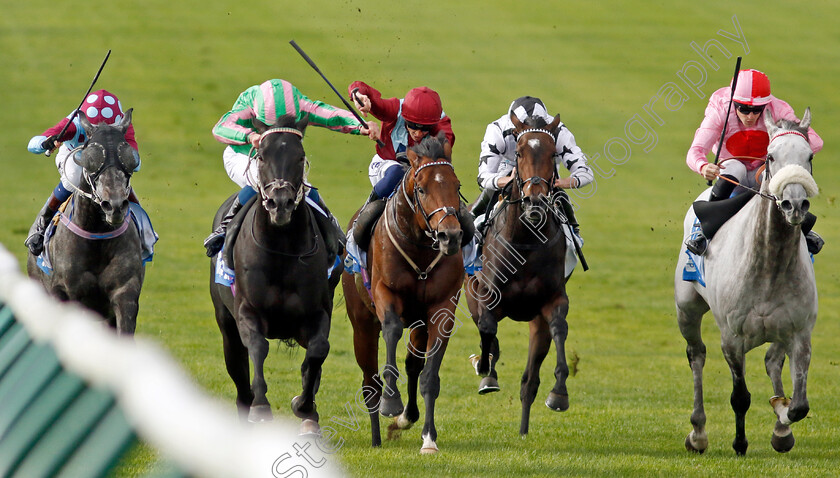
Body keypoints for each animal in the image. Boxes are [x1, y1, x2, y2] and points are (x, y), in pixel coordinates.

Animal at [27, 111, 144, 336]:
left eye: (128, 160)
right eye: (91, 160)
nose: (114, 205)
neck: (97, 239)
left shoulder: (125, 294)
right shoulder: (73, 296)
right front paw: (48, 141)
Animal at [208, 115, 340, 434]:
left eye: (300, 156)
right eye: (262, 155)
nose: (280, 203)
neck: (281, 250)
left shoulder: (317, 313)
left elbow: (318, 351)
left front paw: (304, 407)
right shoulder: (247, 310)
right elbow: (258, 346)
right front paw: (261, 407)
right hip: (226, 324)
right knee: (238, 371)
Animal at [342, 133, 466, 454]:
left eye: (457, 186)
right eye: (421, 189)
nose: (450, 236)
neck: (421, 248)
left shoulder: (442, 308)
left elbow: (428, 375)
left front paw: (429, 438)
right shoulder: (385, 293)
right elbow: (392, 330)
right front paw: (391, 402)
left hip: (418, 323)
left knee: (413, 364)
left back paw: (406, 419)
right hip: (361, 324)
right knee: (369, 380)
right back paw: (376, 436)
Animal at [466, 113, 576, 436]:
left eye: (552, 154)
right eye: (520, 153)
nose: (534, 202)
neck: (526, 239)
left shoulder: (551, 301)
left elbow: (559, 329)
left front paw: (559, 393)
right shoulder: (487, 296)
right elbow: (488, 328)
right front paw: (486, 371)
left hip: (535, 323)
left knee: (530, 380)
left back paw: (524, 430)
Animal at [672, 108, 816, 456]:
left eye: (809, 156)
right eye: (770, 156)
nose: (795, 204)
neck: (769, 267)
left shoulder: (799, 332)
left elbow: (799, 405)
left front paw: (782, 421)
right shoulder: (732, 337)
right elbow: (740, 396)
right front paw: (739, 442)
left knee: (772, 360)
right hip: (687, 308)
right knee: (696, 355)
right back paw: (698, 433)